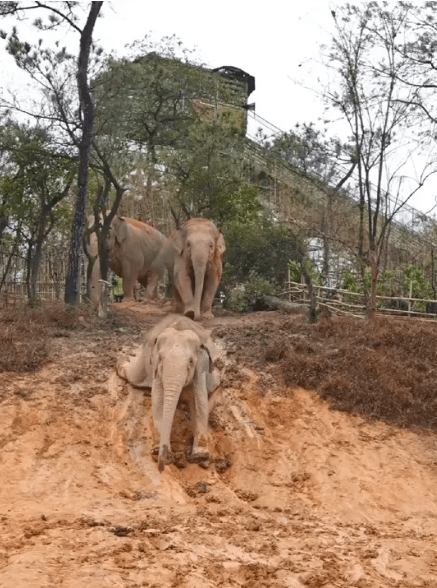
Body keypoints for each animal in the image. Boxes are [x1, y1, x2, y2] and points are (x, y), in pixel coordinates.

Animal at [116, 314, 220, 470]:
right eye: (160, 359)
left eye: (190, 361)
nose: (162, 466)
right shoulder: (154, 364)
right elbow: (158, 397)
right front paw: (158, 450)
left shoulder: (201, 366)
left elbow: (199, 399)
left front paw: (200, 456)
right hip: (142, 363)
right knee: (133, 375)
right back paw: (121, 360)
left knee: (216, 384)